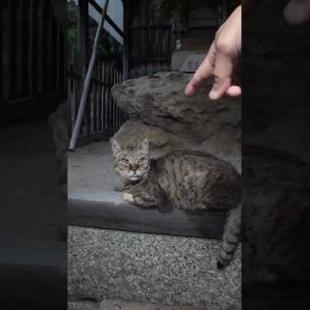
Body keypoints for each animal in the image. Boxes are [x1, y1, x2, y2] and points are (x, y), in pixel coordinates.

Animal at [111, 139, 242, 268]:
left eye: (141, 159)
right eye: (125, 160)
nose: (134, 168)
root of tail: (240, 182)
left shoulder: (159, 199)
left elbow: (132, 197)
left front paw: (126, 193)